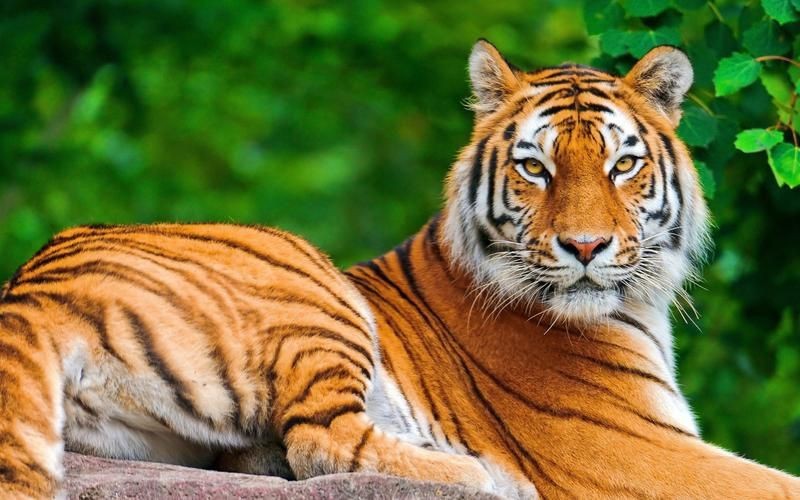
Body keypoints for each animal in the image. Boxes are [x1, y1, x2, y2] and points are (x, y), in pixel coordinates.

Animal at [0, 40, 798, 499]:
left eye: (622, 165)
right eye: (535, 168)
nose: (585, 247)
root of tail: (30, 287)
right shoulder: (634, 449)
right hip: (309, 282)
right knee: (322, 441)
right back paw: (476, 475)